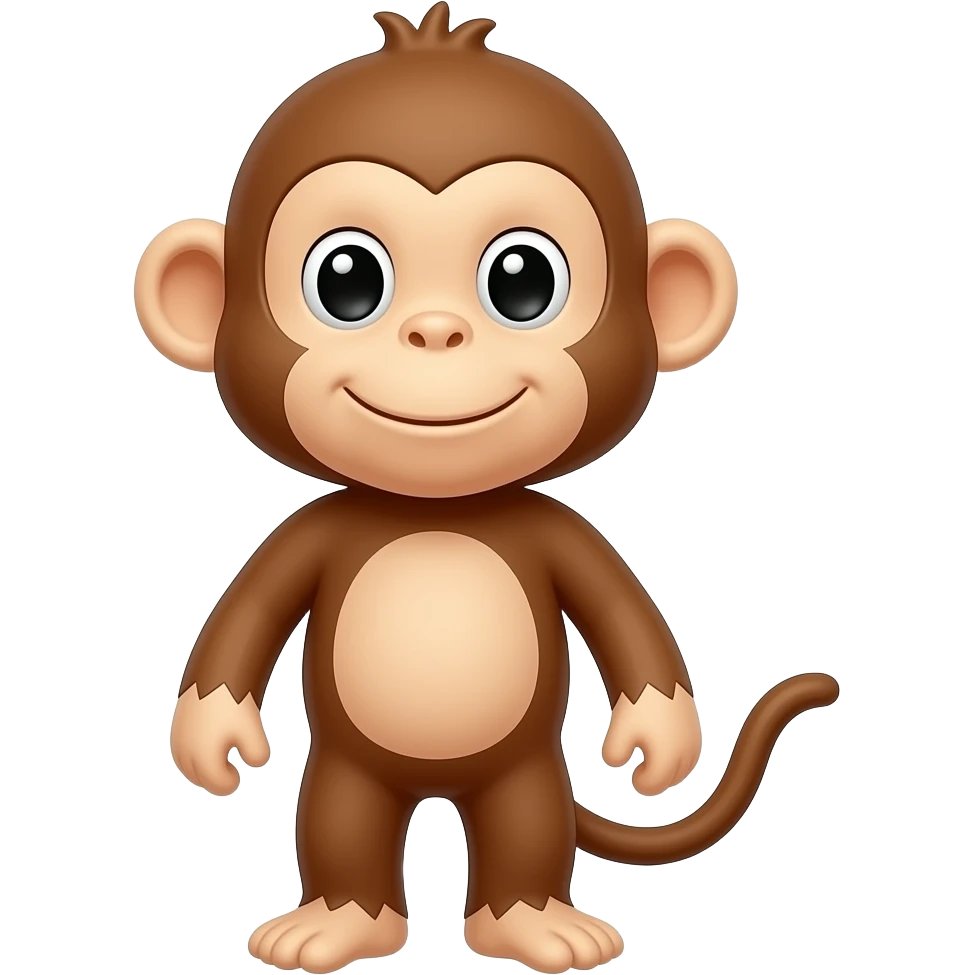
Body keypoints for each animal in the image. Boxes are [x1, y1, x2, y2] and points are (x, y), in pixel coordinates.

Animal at [135, 4, 839, 973]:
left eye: (523, 280)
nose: (436, 331)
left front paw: (656, 740)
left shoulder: (561, 534)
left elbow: (628, 625)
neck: (439, 514)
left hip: (527, 770)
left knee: (525, 827)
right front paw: (213, 739)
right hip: (348, 771)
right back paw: (338, 922)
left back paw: (535, 923)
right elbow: (243, 622)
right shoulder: (305, 534)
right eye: (346, 280)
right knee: (340, 822)